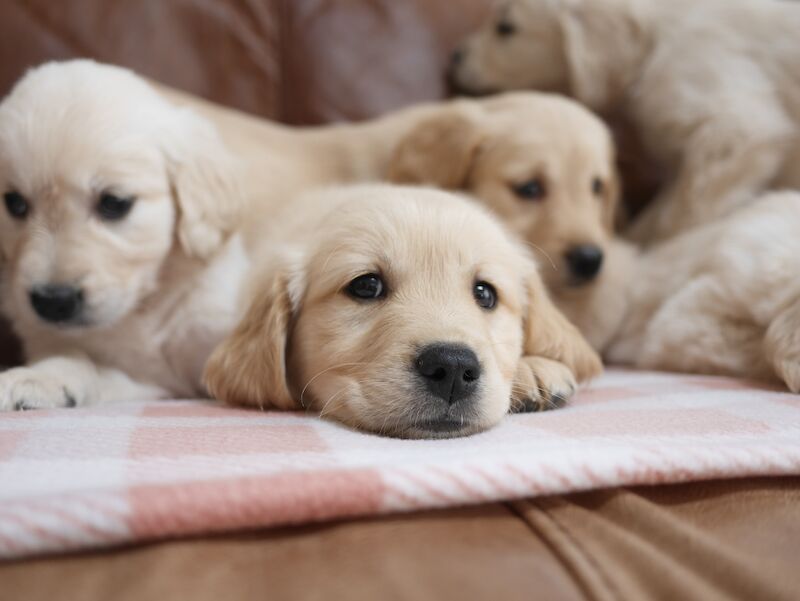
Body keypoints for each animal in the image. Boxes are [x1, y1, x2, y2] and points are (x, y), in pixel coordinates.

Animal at [0, 59, 247, 408]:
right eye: (15, 203)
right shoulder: (150, 381)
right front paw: (36, 379)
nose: (53, 301)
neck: (141, 308)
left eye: (114, 203)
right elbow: (80, 361)